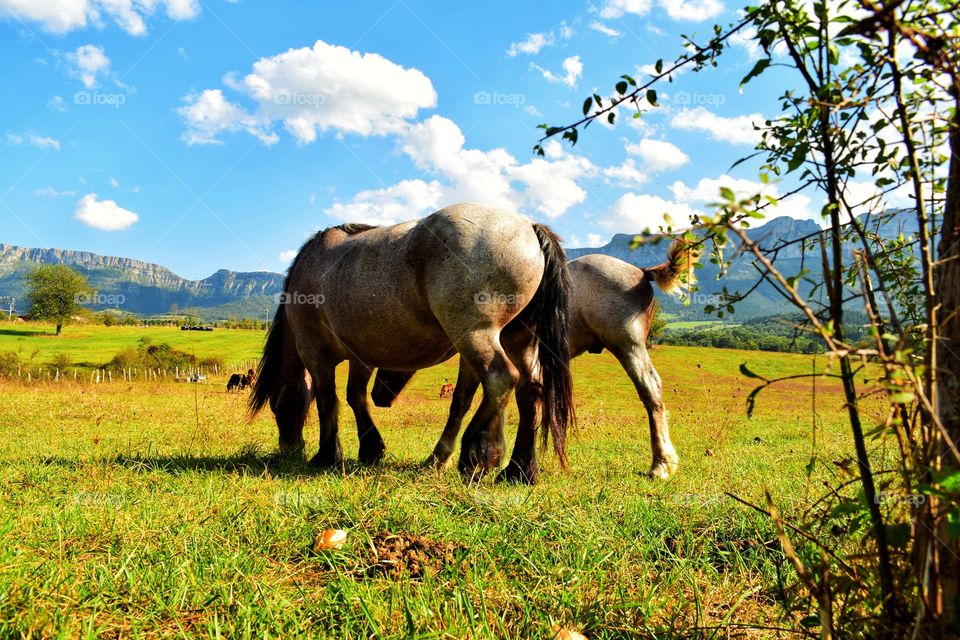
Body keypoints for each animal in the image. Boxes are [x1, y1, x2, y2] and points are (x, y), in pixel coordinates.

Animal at [248, 203, 575, 482]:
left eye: (277, 404)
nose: (289, 446)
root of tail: (529, 226)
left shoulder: (315, 353)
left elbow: (328, 400)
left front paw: (328, 455)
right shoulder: (362, 356)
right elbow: (356, 396)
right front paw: (371, 448)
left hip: (477, 336)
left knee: (501, 379)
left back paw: (479, 455)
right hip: (512, 339)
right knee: (525, 391)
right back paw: (515, 469)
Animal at [372, 239, 696, 479]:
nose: (378, 397)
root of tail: (642, 271)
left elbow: (461, 403)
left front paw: (440, 459)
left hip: (628, 346)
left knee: (650, 390)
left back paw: (661, 464)